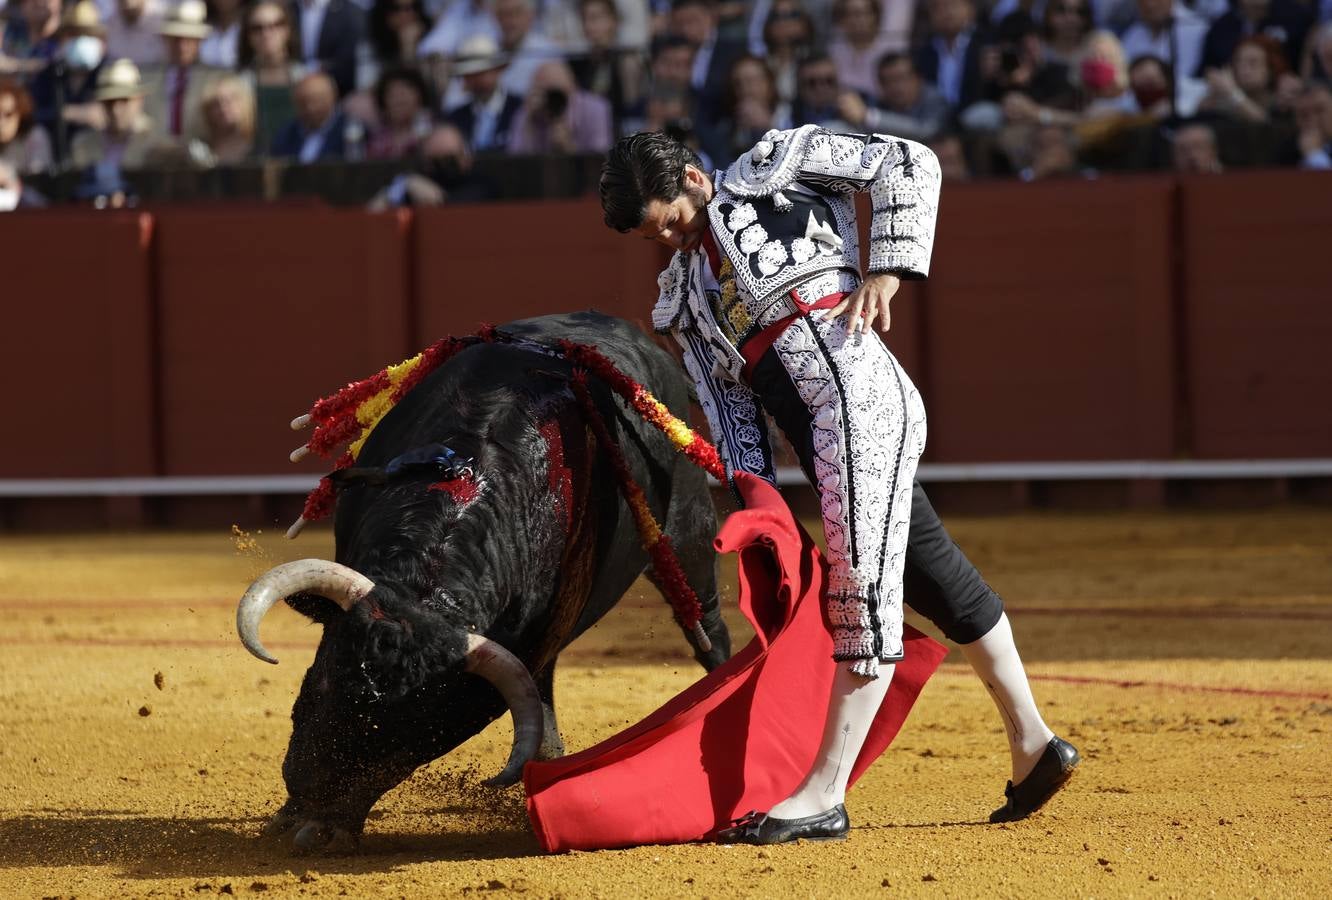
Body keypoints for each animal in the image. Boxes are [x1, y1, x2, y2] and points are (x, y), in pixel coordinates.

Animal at [242, 312, 740, 852]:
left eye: (419, 727)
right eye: (327, 675)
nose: (311, 794)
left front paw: (329, 823)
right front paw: (296, 816)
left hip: (689, 536)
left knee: (708, 630)